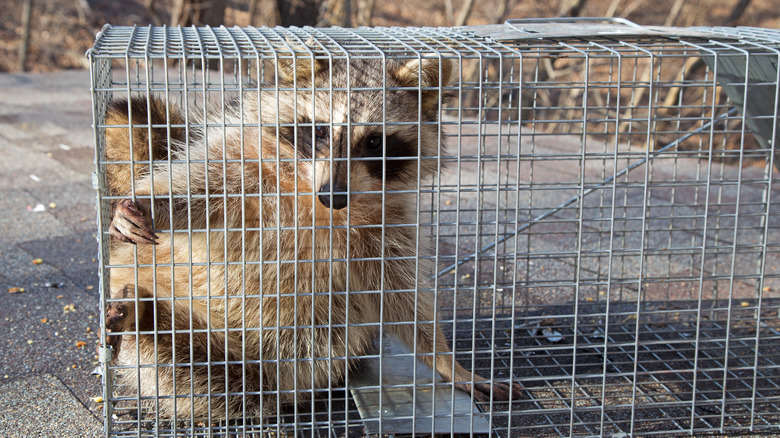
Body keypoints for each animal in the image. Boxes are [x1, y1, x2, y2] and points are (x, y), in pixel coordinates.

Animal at [100, 53, 520, 420]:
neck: (313, 198)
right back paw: (141, 311)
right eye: (319, 130)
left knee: (216, 375)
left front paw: (447, 362)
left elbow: (400, 294)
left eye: (374, 142)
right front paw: (150, 203)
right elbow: (195, 189)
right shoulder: (245, 161)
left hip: (279, 362)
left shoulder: (388, 223)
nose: (332, 195)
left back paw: (144, 314)